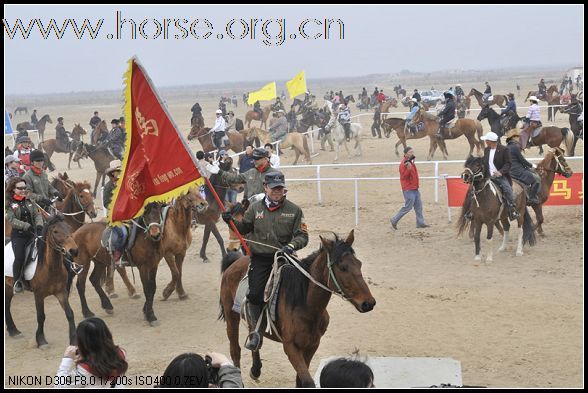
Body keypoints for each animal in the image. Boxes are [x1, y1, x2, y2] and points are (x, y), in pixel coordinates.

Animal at [5, 214, 80, 346]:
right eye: (55, 231)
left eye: (69, 228)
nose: (73, 250)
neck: (50, 267)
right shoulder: (38, 295)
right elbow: (41, 316)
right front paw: (41, 340)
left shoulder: (61, 292)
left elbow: (69, 314)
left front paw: (73, 339)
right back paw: (13, 330)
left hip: (9, 287)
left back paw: (13, 330)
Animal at [219, 230, 376, 386]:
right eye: (343, 268)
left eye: (359, 264)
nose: (368, 303)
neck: (306, 305)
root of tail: (235, 262)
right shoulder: (291, 347)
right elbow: (307, 381)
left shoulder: (312, 345)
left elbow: (300, 380)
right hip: (231, 316)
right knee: (235, 350)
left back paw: (255, 368)